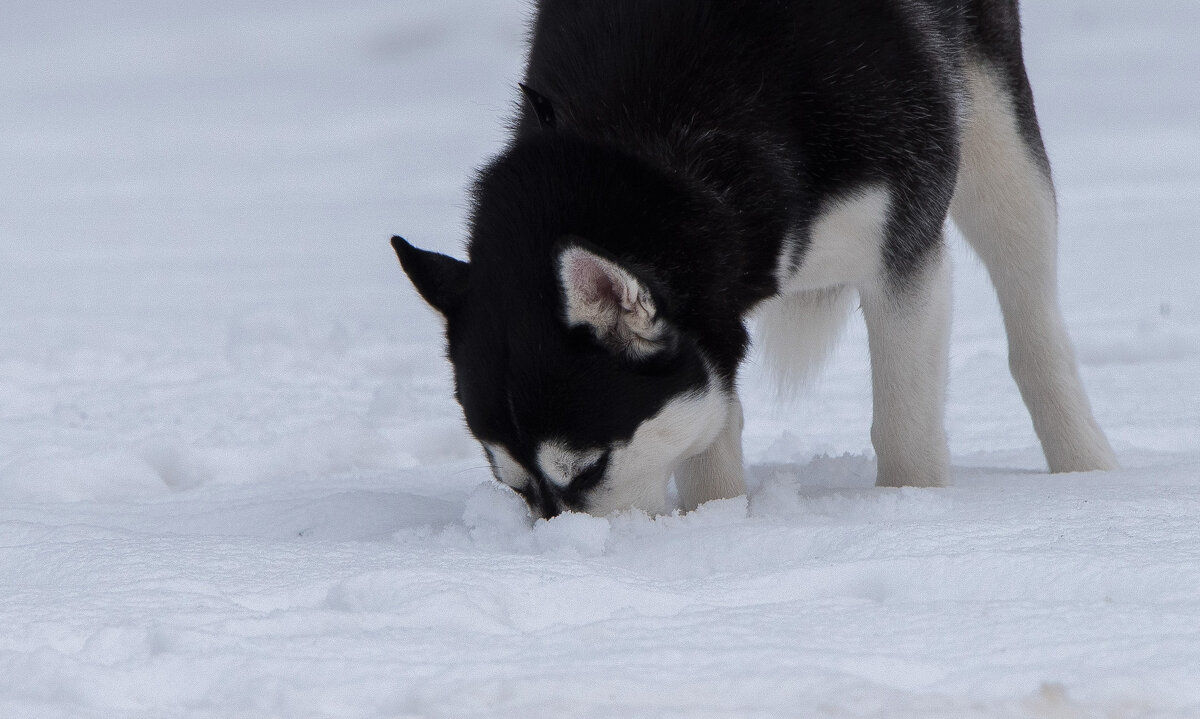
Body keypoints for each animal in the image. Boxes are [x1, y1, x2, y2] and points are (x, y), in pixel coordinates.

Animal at [393, 0, 1113, 518]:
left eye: (589, 468)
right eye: (514, 485)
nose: (568, 552)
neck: (663, 138)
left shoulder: (904, 248)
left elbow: (905, 426)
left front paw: (908, 509)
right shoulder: (712, 314)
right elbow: (709, 431)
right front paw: (718, 524)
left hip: (997, 144)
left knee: (1032, 316)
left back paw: (1088, 470)